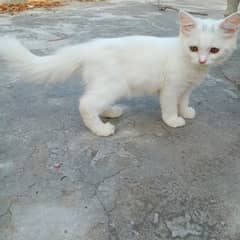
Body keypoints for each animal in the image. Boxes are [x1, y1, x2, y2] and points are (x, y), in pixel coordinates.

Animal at [0, 11, 239, 136]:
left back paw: (110, 112)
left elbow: (183, 101)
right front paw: (173, 120)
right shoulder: (171, 87)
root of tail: (88, 46)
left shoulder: (186, 87)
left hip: (107, 86)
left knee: (96, 102)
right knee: (86, 104)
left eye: (214, 50)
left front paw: (185, 111)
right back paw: (101, 129)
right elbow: (170, 106)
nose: (202, 60)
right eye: (194, 48)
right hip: (113, 85)